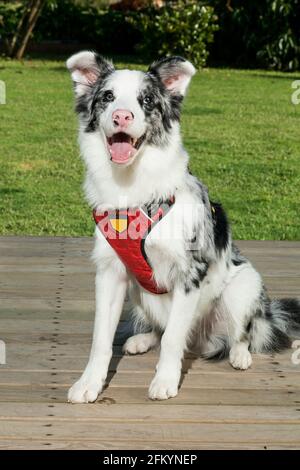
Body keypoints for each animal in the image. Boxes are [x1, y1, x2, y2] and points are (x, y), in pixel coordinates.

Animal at [67, 52, 300, 404]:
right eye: (107, 97)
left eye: (147, 101)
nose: (121, 116)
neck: (132, 189)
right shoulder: (110, 273)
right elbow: (101, 339)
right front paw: (89, 383)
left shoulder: (190, 273)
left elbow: (173, 340)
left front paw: (165, 381)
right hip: (138, 291)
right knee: (159, 329)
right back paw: (142, 340)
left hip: (243, 287)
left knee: (243, 333)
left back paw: (240, 355)